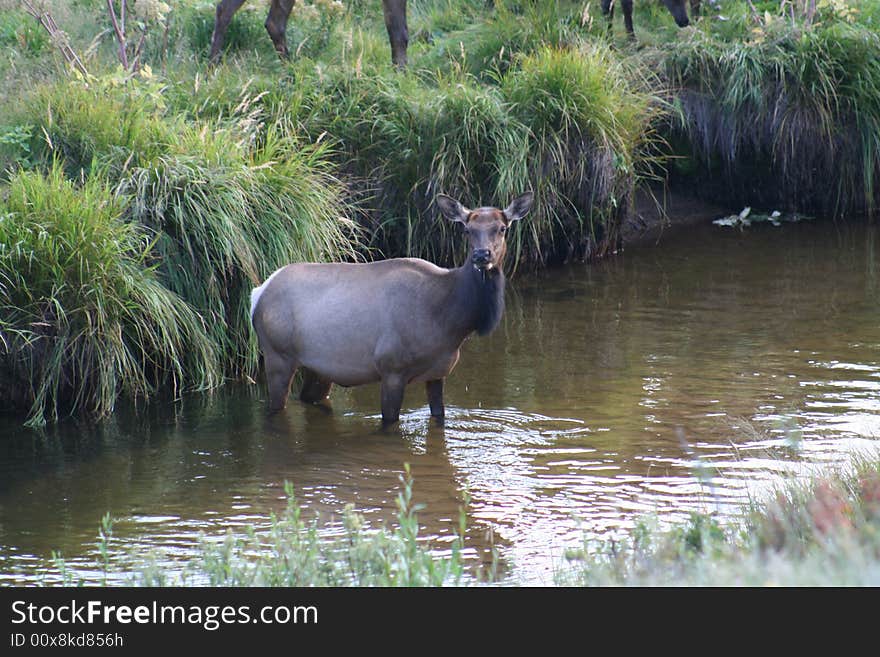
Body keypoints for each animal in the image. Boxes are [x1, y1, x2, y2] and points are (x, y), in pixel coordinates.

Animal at [249, 191, 536, 426]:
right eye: (466, 229)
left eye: (502, 228)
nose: (481, 255)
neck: (449, 321)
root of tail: (257, 293)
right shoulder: (391, 368)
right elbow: (389, 423)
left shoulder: (438, 372)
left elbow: (439, 417)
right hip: (278, 354)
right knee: (275, 407)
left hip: (318, 367)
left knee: (308, 399)